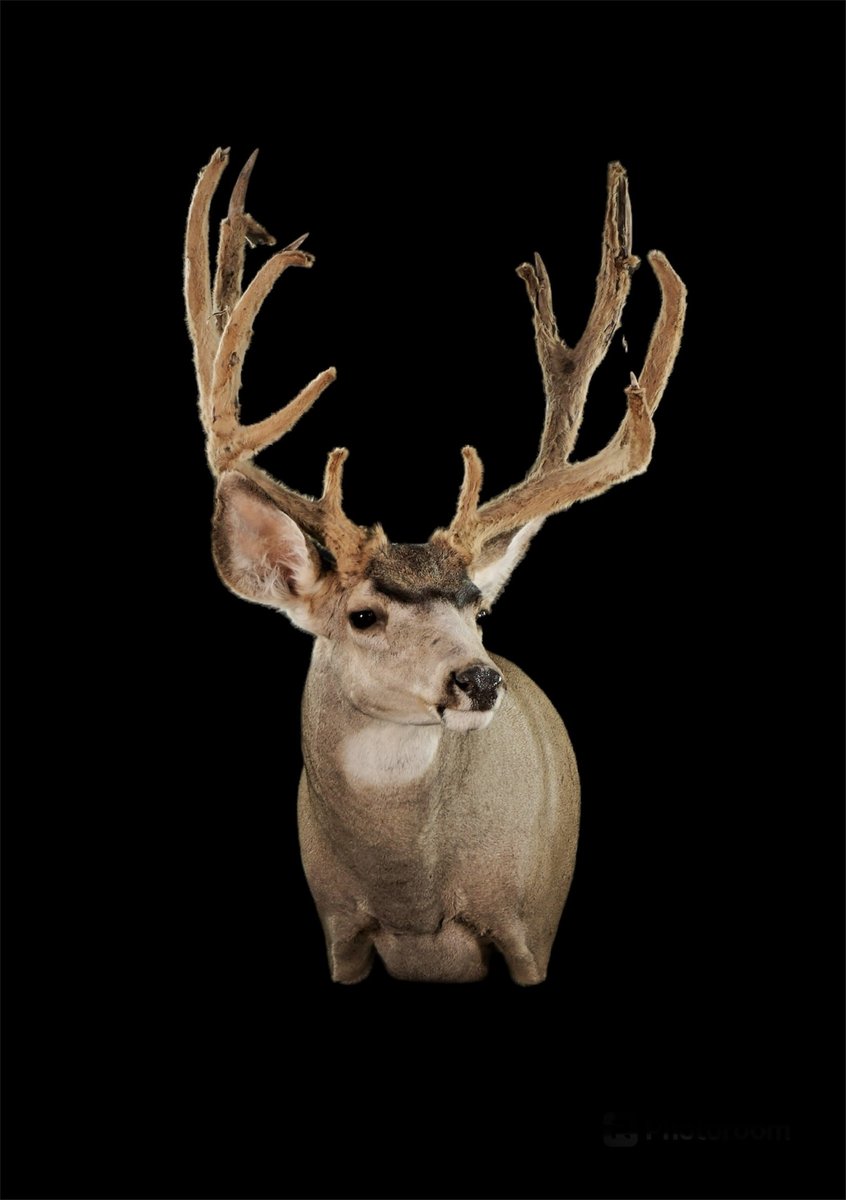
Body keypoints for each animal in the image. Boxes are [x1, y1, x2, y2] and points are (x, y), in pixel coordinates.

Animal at [184, 148, 686, 985]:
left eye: (476, 606)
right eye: (364, 615)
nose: (479, 679)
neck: (411, 895)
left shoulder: (526, 928)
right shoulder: (340, 932)